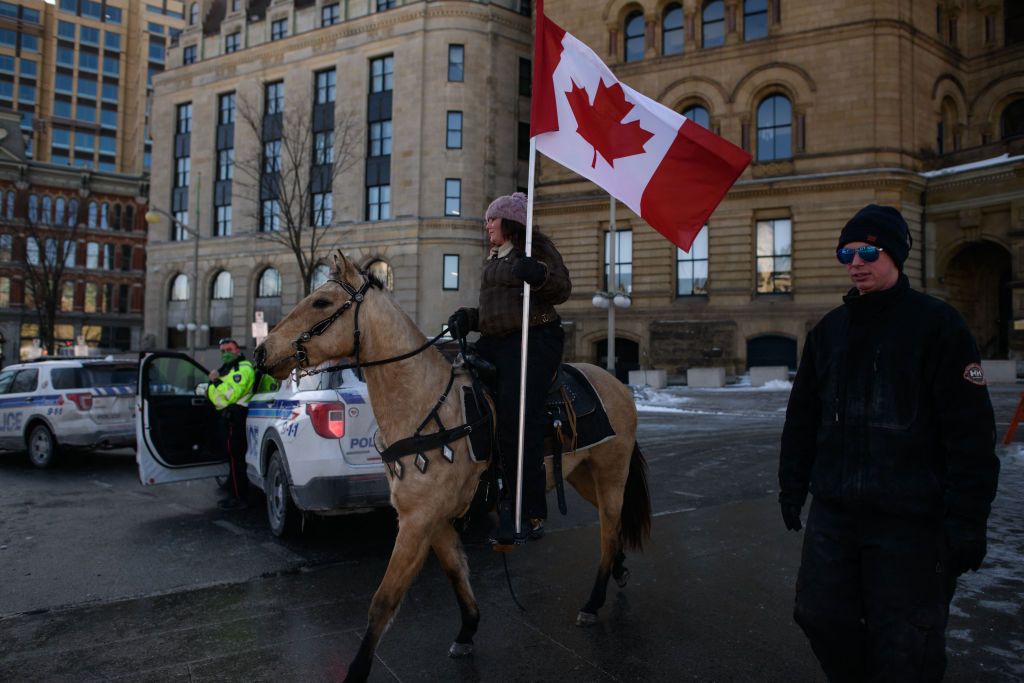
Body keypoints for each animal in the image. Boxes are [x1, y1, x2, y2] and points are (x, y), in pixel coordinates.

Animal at [253, 253, 647, 679]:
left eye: (321, 302)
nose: (261, 353)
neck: (423, 403)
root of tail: (617, 384)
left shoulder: (416, 521)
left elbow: (383, 600)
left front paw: (357, 670)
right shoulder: (435, 519)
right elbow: (457, 573)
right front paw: (467, 632)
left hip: (611, 471)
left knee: (607, 531)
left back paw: (592, 603)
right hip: (584, 475)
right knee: (614, 525)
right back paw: (619, 571)